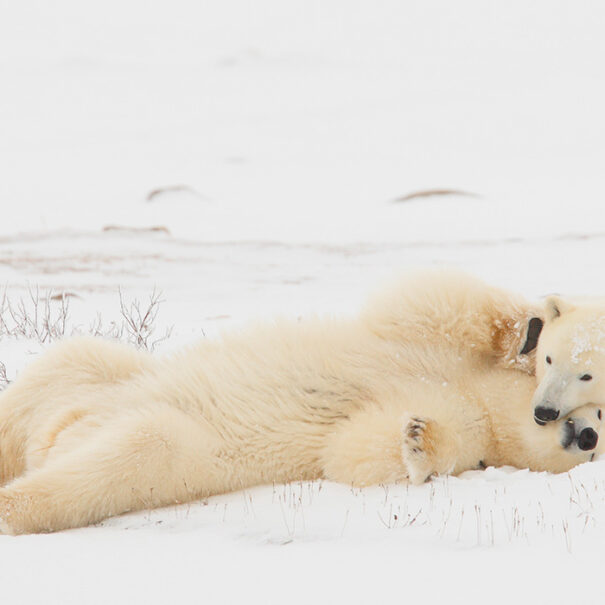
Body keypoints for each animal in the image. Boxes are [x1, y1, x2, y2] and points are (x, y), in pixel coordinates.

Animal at [0, 272, 600, 532]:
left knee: (135, 452)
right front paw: (529, 331)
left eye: (598, 441)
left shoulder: (475, 430)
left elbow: (355, 450)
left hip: (180, 449)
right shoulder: (437, 350)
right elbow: (437, 300)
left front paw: (418, 440)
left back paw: (15, 504)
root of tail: (58, 434)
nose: (585, 435)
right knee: (56, 372)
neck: (494, 405)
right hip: (94, 373)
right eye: (597, 408)